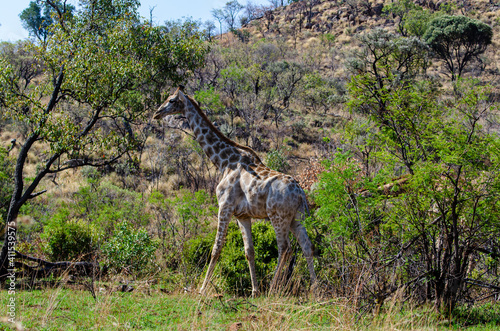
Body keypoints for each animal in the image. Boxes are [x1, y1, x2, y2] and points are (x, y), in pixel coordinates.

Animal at [153, 86, 316, 296]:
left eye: (172, 100)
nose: (157, 113)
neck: (223, 162)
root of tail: (301, 193)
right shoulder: (242, 215)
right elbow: (249, 251)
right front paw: (254, 291)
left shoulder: (225, 206)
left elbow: (216, 248)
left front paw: (202, 288)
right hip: (296, 217)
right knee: (307, 246)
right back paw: (316, 288)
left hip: (278, 216)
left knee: (285, 248)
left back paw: (273, 289)